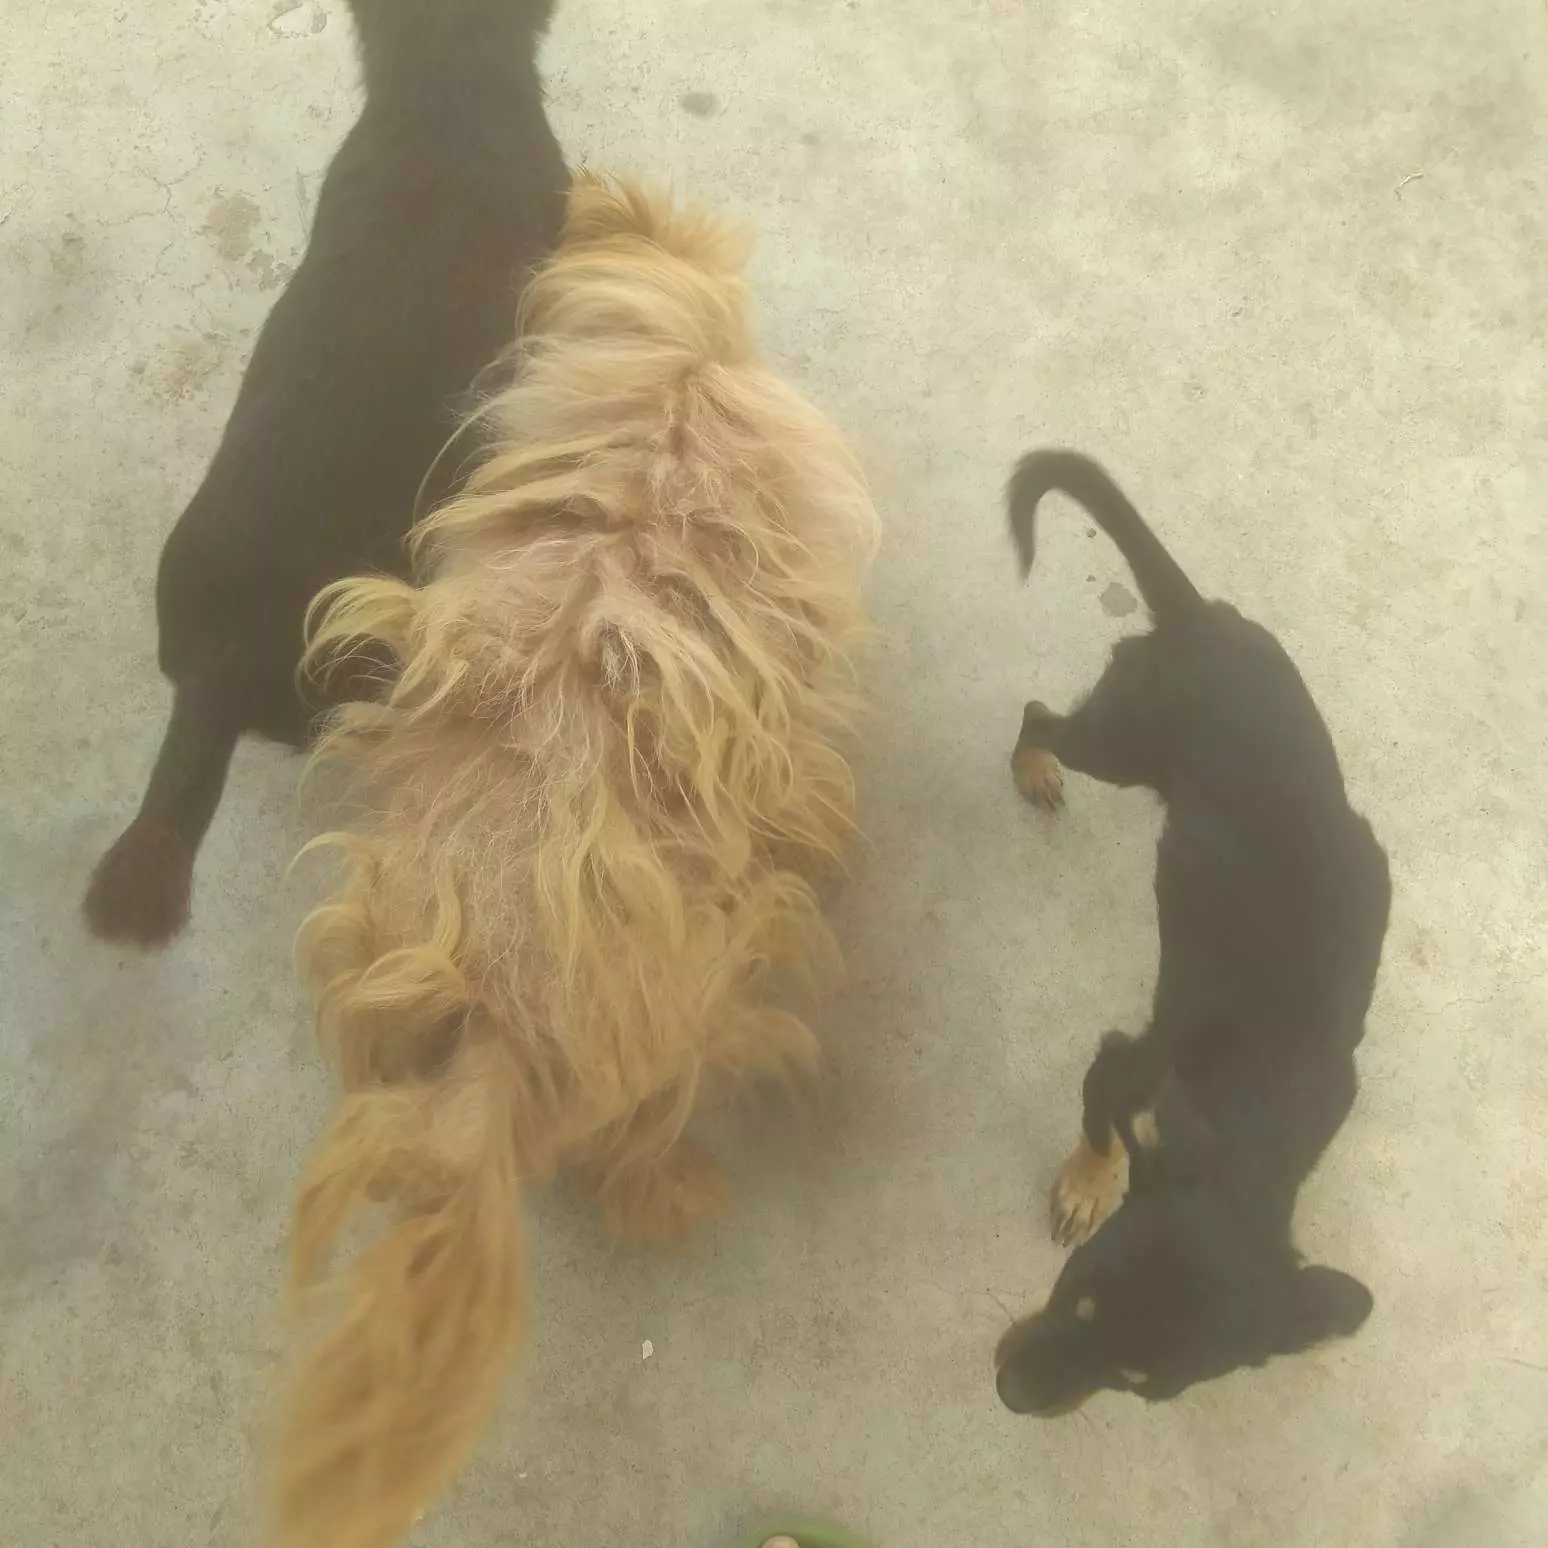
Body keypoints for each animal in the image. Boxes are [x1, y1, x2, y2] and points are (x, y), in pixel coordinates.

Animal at [273, 173, 880, 1548]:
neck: (675, 397)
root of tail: (498, 1016)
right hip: (706, 994)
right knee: (647, 1149)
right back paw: (679, 1188)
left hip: (365, 937)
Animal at [993, 450, 1390, 1415]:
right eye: (1078, 1291)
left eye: (1144, 1386)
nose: (1012, 1395)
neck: (1259, 1118)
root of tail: (1201, 616)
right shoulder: (1124, 1060)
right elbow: (1105, 1124)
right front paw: (1089, 1183)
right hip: (1121, 743)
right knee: (1039, 716)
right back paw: (1034, 766)